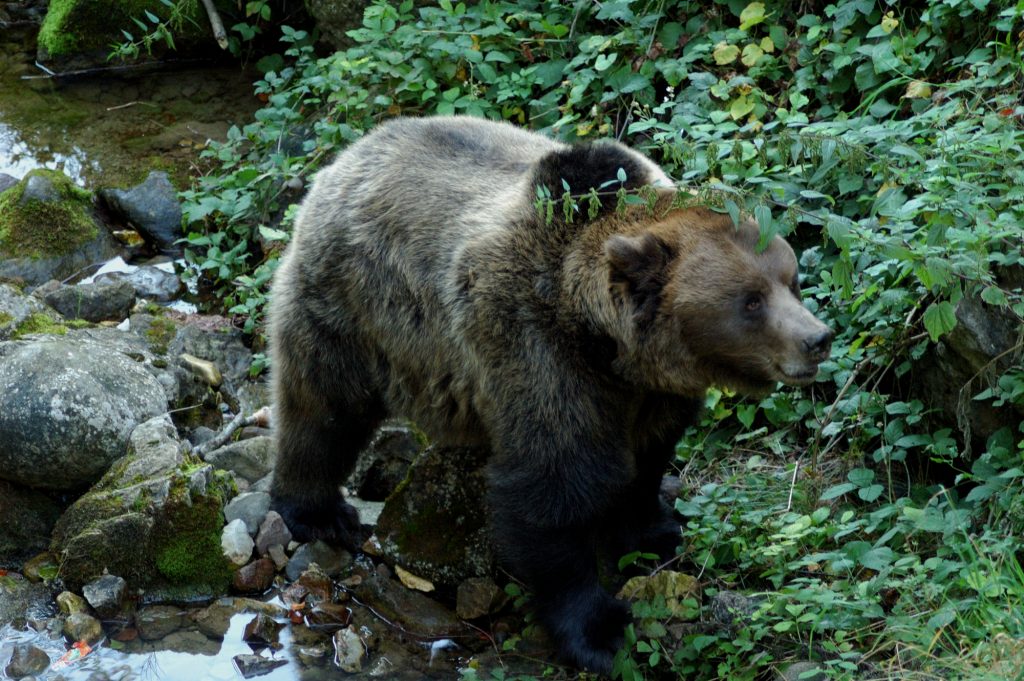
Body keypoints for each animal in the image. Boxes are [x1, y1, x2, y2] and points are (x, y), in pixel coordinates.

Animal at [268, 116, 833, 673]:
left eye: (790, 281)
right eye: (751, 301)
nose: (817, 339)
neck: (606, 343)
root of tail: (346, 156)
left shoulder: (651, 393)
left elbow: (647, 460)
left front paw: (656, 532)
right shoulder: (537, 352)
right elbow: (553, 488)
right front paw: (600, 631)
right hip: (355, 307)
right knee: (323, 410)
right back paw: (317, 512)